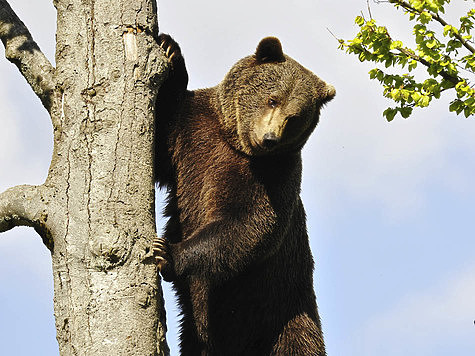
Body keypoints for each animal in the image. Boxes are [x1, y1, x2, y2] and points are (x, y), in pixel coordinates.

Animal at [154, 34, 336, 356]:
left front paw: (168, 253)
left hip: (288, 308)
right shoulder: (190, 134)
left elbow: (250, 224)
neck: (235, 142)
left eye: (295, 117)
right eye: (273, 99)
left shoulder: (273, 176)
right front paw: (170, 50)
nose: (269, 138)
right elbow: (160, 137)